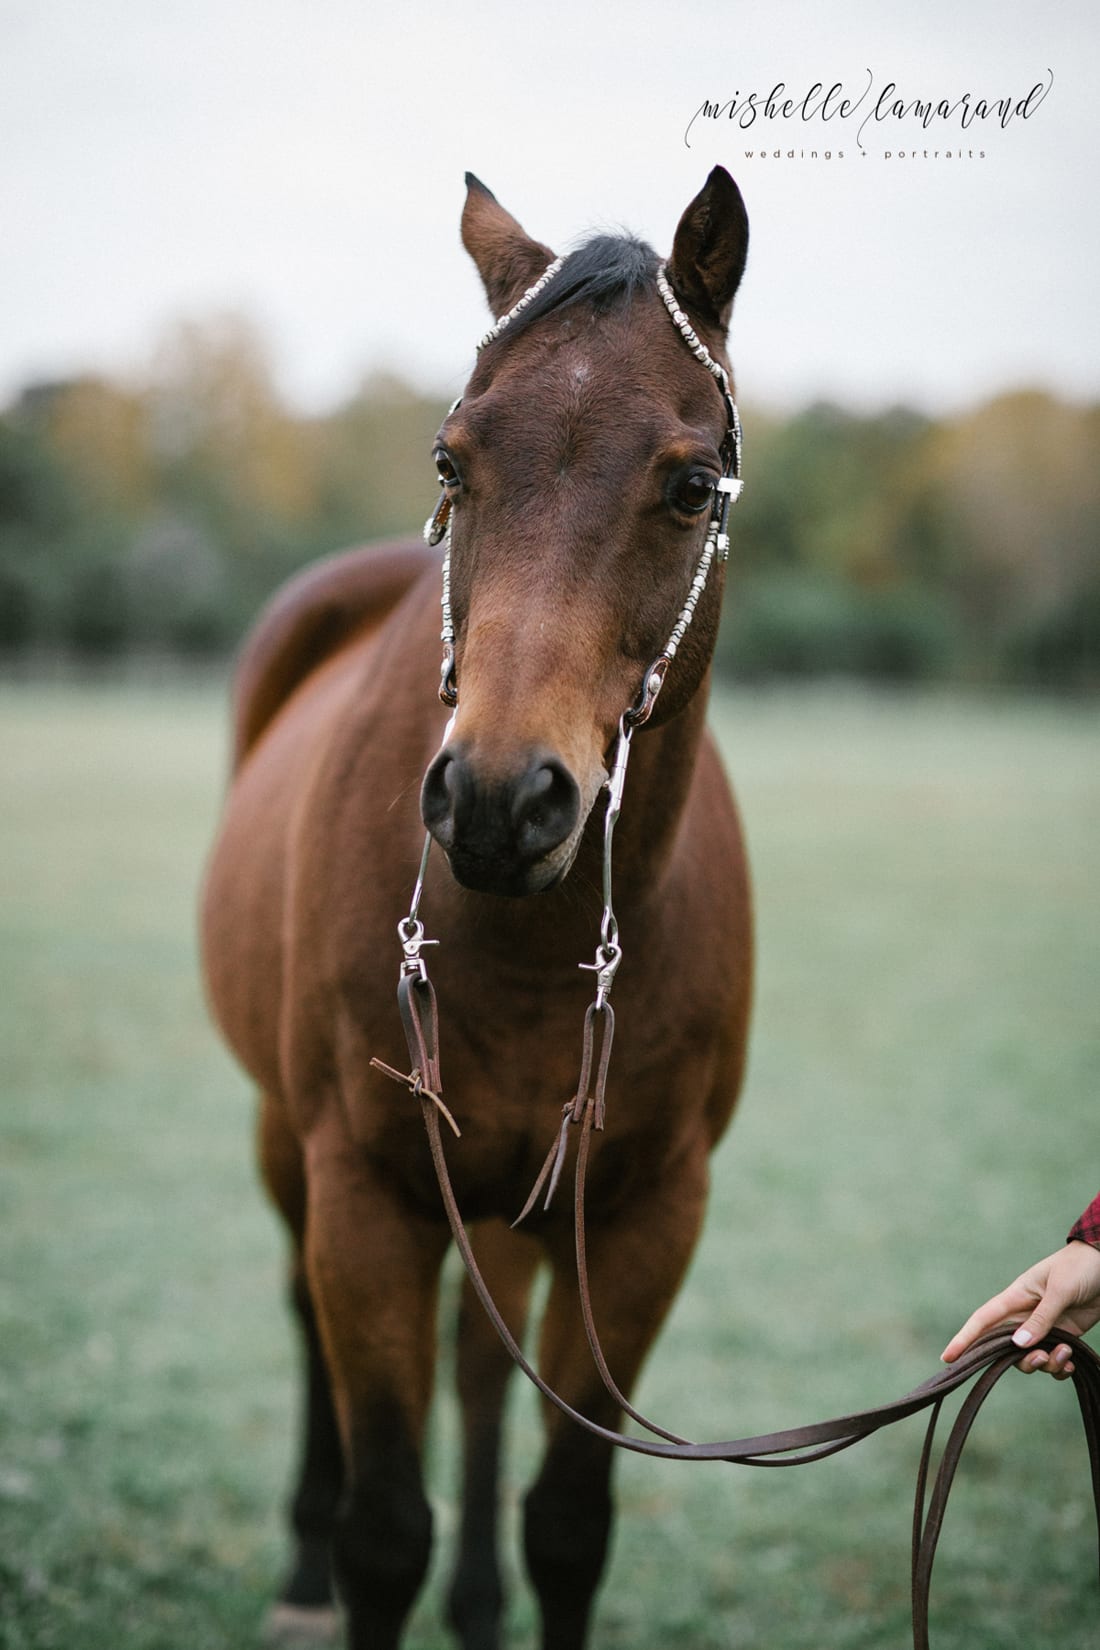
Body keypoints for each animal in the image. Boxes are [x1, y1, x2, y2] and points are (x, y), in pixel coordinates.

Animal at [202, 167, 758, 1650]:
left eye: (691, 484)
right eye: (453, 460)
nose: (502, 800)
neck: (527, 946)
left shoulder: (643, 1217)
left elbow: (568, 1521)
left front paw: (505, 1585)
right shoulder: (367, 1193)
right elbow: (382, 1527)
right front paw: (346, 1565)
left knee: (477, 1364)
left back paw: (476, 1602)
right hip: (293, 1142)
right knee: (304, 1322)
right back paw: (299, 1574)